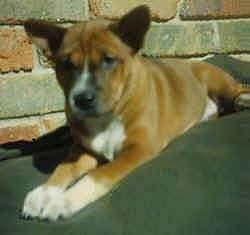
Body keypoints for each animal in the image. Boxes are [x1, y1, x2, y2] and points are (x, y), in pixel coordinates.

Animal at [22, 5, 250, 220]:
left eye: (108, 60)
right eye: (66, 64)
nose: (82, 99)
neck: (106, 118)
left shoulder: (139, 148)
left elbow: (99, 174)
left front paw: (65, 201)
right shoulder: (83, 149)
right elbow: (63, 168)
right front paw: (42, 194)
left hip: (216, 81)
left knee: (238, 88)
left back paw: (243, 99)